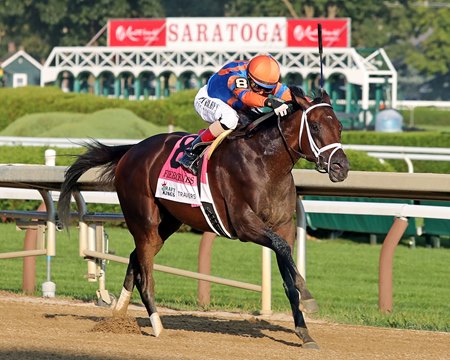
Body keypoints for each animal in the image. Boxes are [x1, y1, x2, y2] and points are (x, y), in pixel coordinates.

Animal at [58, 88, 350, 350]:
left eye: (340, 127)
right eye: (314, 126)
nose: (341, 167)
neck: (266, 163)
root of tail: (131, 150)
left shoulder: (284, 227)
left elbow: (288, 268)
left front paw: (304, 332)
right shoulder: (245, 225)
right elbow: (282, 250)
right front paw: (309, 296)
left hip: (167, 222)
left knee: (136, 258)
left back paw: (117, 317)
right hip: (144, 220)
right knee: (146, 273)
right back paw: (157, 326)